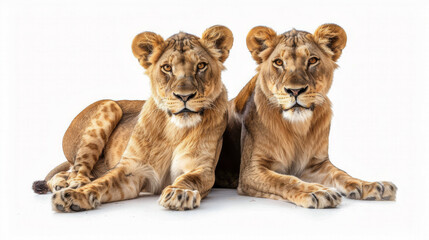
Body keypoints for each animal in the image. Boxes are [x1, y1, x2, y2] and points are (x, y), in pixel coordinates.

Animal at [32, 25, 234, 212]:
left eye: (201, 65)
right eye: (167, 68)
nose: (184, 96)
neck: (175, 129)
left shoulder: (202, 169)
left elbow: (190, 179)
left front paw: (180, 192)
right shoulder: (132, 170)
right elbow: (102, 183)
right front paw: (74, 196)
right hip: (110, 105)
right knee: (77, 169)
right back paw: (72, 184)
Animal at [216, 23, 396, 208]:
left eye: (312, 60)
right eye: (278, 62)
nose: (295, 91)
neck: (297, 127)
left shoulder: (316, 164)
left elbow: (341, 174)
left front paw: (370, 185)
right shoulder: (250, 171)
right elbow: (286, 180)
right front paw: (317, 192)